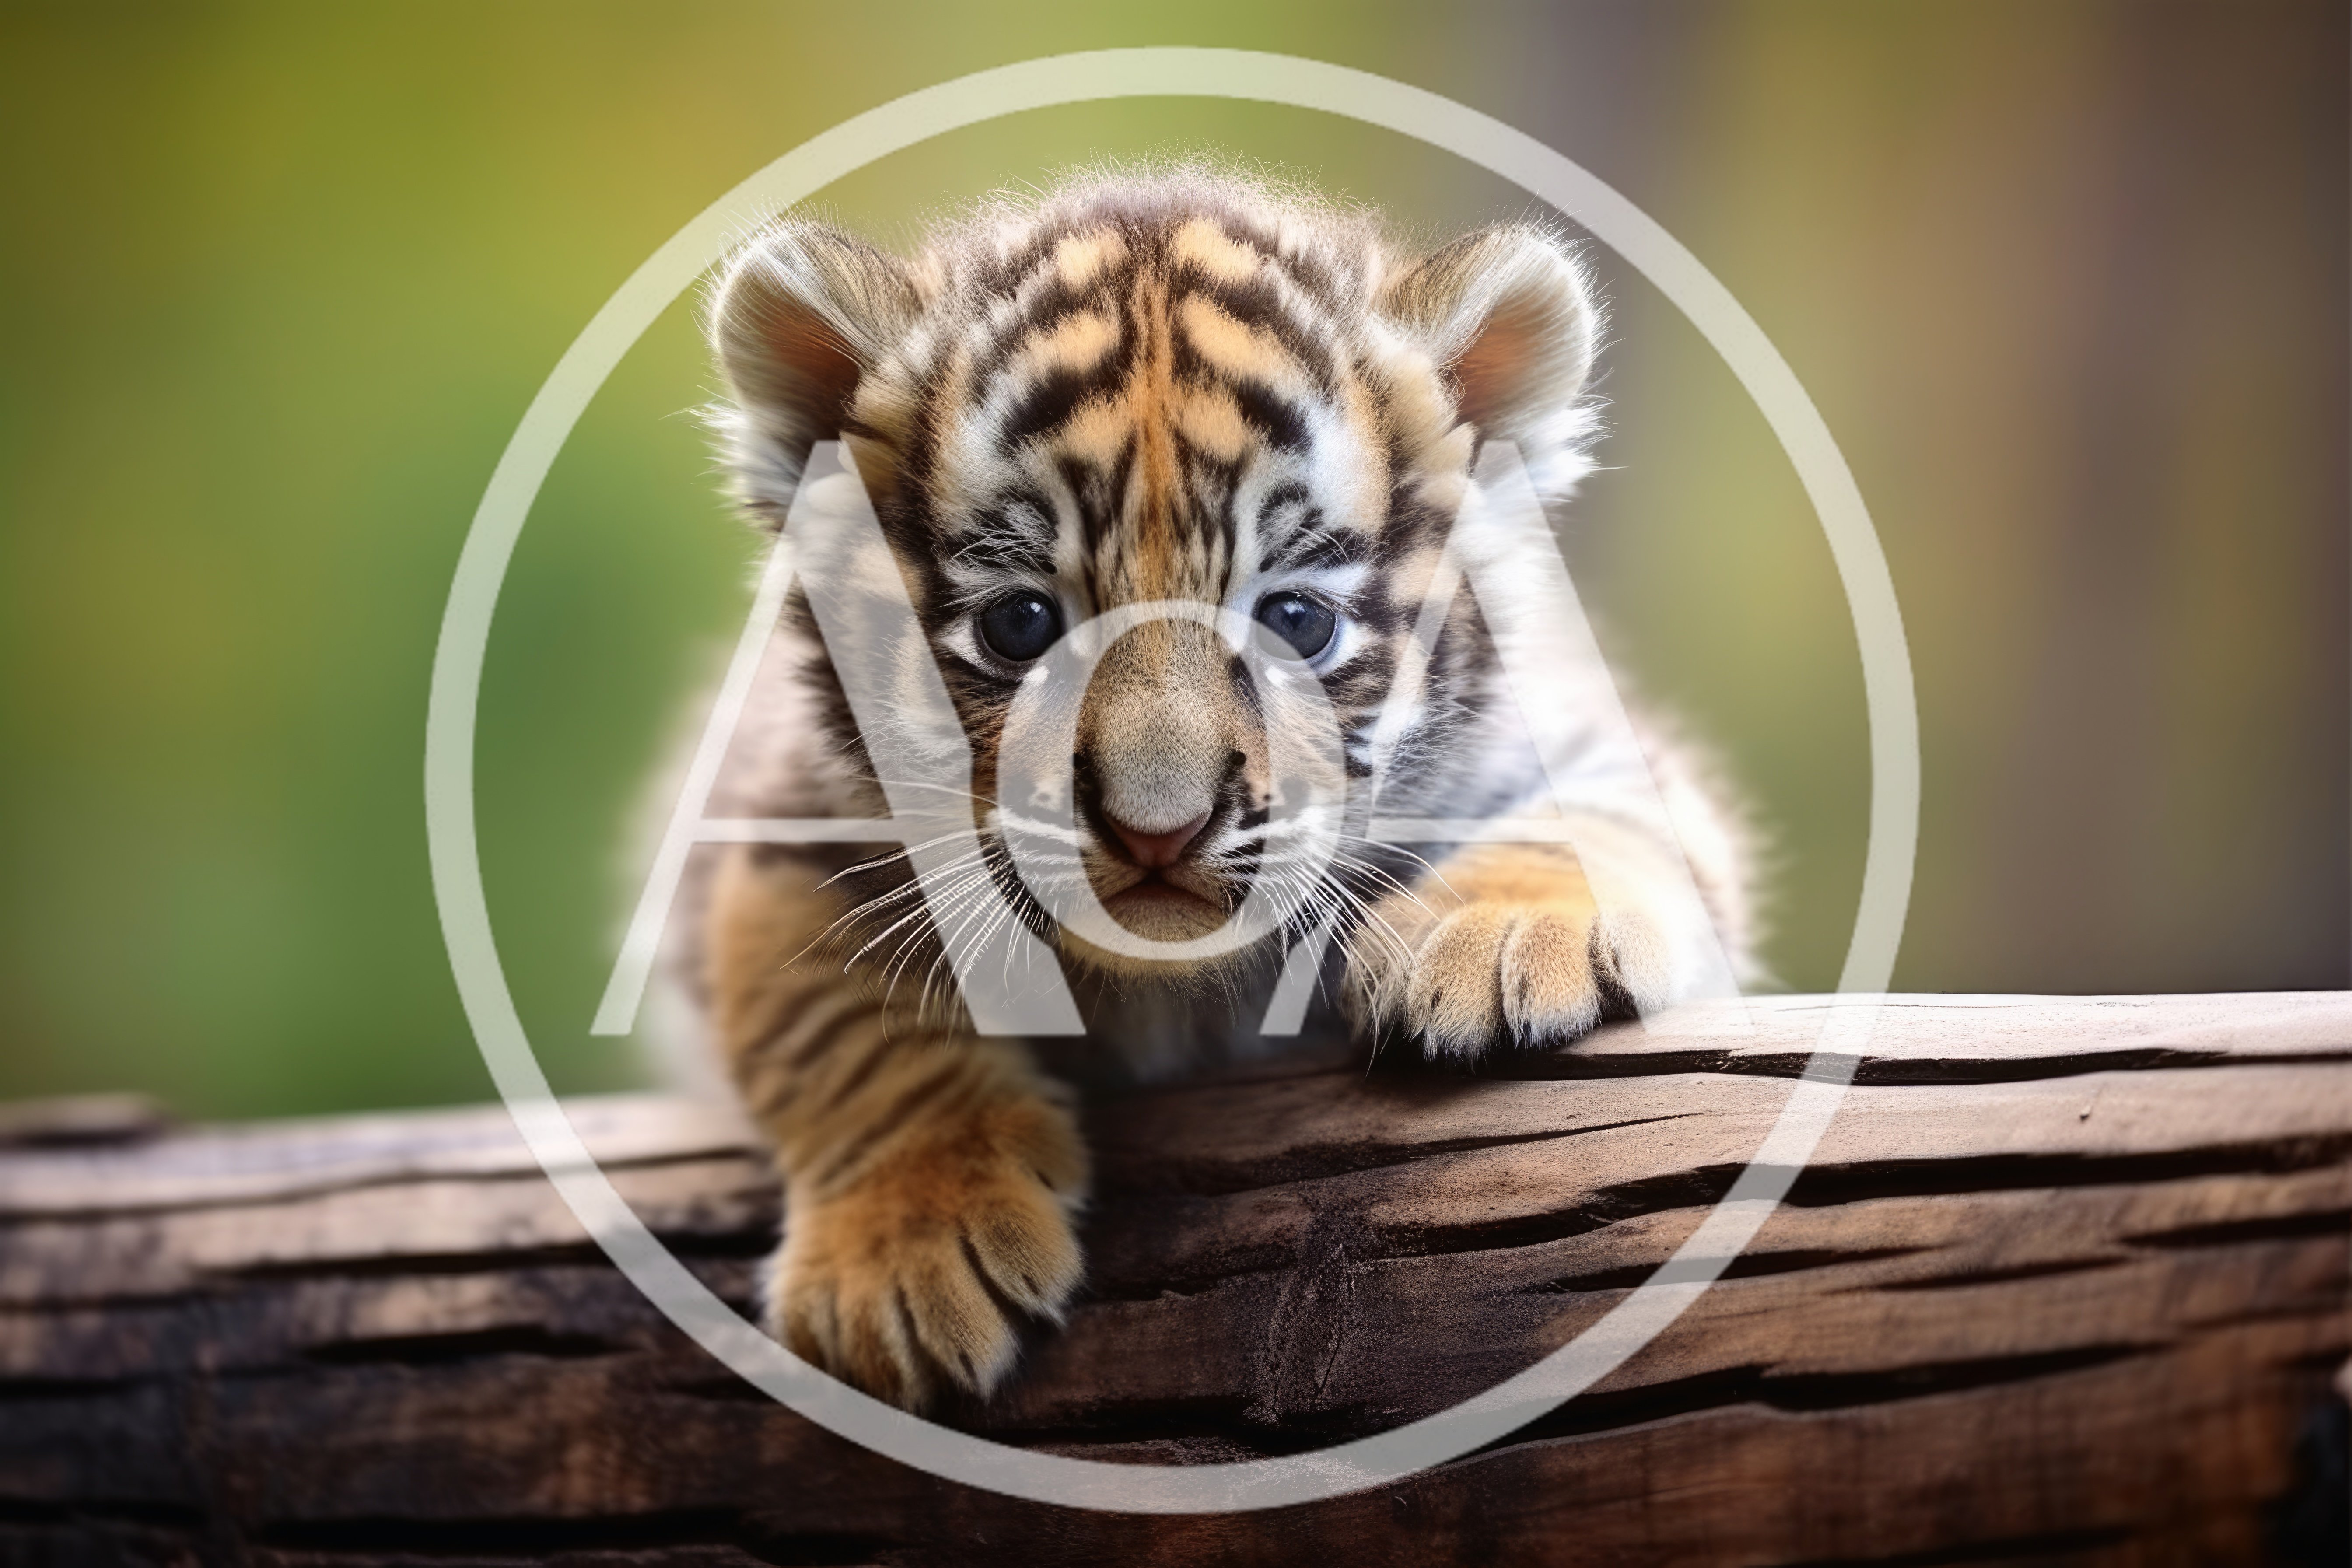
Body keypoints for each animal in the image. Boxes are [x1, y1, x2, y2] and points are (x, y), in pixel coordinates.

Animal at [667, 168, 1752, 1411]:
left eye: (1296, 621)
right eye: (1020, 624)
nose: (1158, 831)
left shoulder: (1580, 733)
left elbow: (1610, 814)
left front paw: (1496, 938)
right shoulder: (771, 817)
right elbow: (836, 1022)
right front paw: (905, 1257)